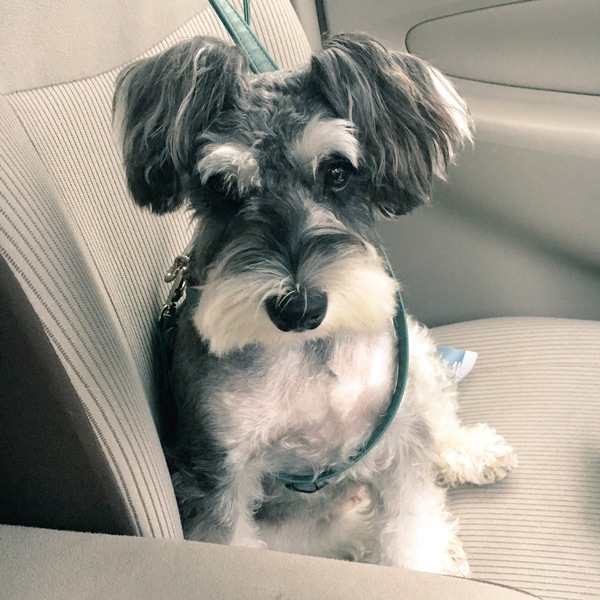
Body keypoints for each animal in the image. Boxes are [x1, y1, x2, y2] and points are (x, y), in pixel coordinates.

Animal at [113, 32, 516, 575]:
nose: (299, 308)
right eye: (221, 187)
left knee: (435, 416)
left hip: (414, 363)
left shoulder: (399, 439)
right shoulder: (218, 475)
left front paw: (431, 557)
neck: (310, 351)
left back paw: (469, 452)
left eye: (338, 172)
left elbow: (414, 533)